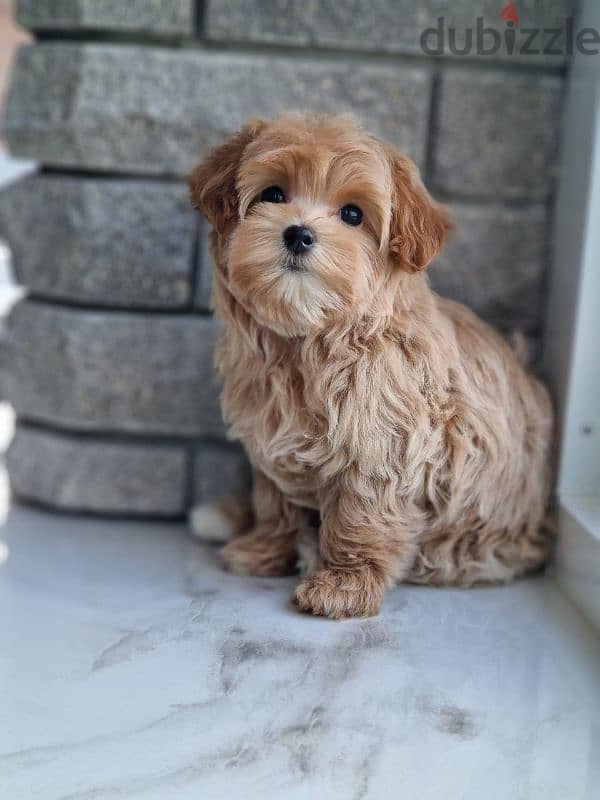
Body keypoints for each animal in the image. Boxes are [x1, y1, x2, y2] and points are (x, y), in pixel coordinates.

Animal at [188, 114, 552, 620]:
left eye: (353, 215)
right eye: (274, 194)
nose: (298, 234)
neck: (310, 343)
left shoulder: (386, 445)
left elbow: (361, 517)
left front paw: (343, 585)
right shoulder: (269, 435)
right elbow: (274, 502)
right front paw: (264, 550)